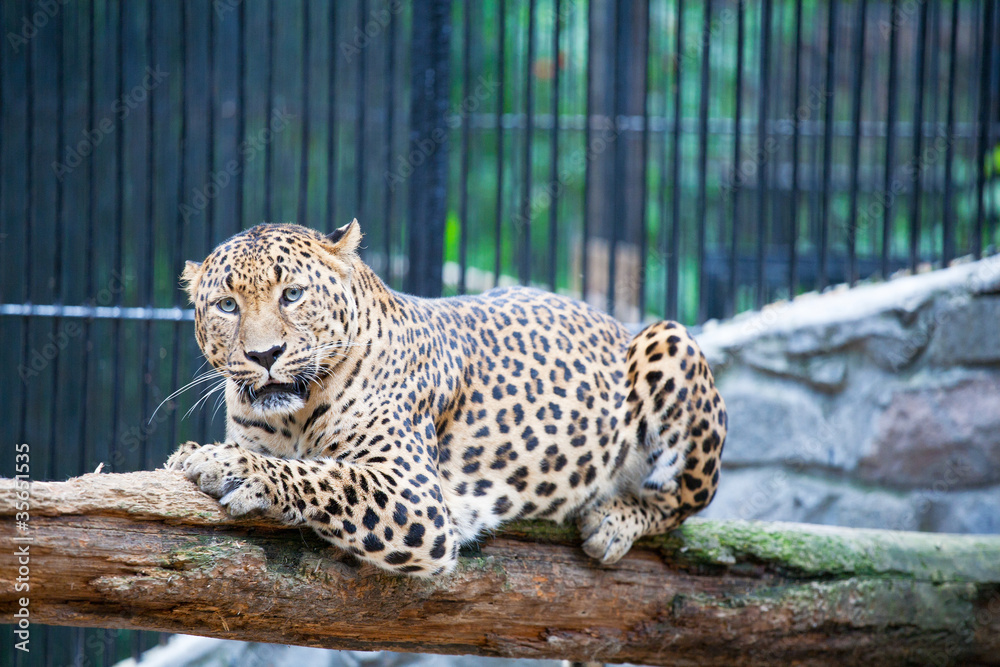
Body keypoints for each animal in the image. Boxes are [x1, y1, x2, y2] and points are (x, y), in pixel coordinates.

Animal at [165, 220, 727, 577]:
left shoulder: (414, 498)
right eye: (227, 305)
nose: (264, 354)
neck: (295, 417)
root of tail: (613, 321)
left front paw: (222, 463)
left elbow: (324, 474)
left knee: (681, 499)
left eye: (293, 295)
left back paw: (611, 523)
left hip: (671, 342)